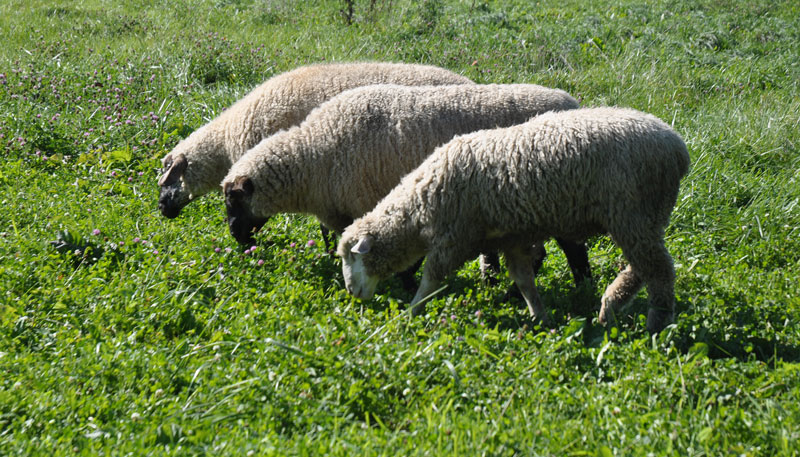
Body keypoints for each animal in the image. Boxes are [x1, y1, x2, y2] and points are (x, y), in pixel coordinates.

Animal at [222, 83, 592, 288]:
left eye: (234, 200)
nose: (237, 239)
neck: (313, 156)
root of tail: (572, 103)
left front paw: (405, 281)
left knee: (572, 247)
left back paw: (579, 288)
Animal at [337, 107, 690, 334]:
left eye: (352, 258)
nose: (352, 293)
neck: (420, 204)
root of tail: (677, 147)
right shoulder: (511, 239)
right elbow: (524, 281)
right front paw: (541, 318)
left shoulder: (455, 238)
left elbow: (430, 280)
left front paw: (409, 313)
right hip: (645, 216)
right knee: (643, 267)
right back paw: (610, 308)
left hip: (633, 213)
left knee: (658, 269)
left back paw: (656, 326)